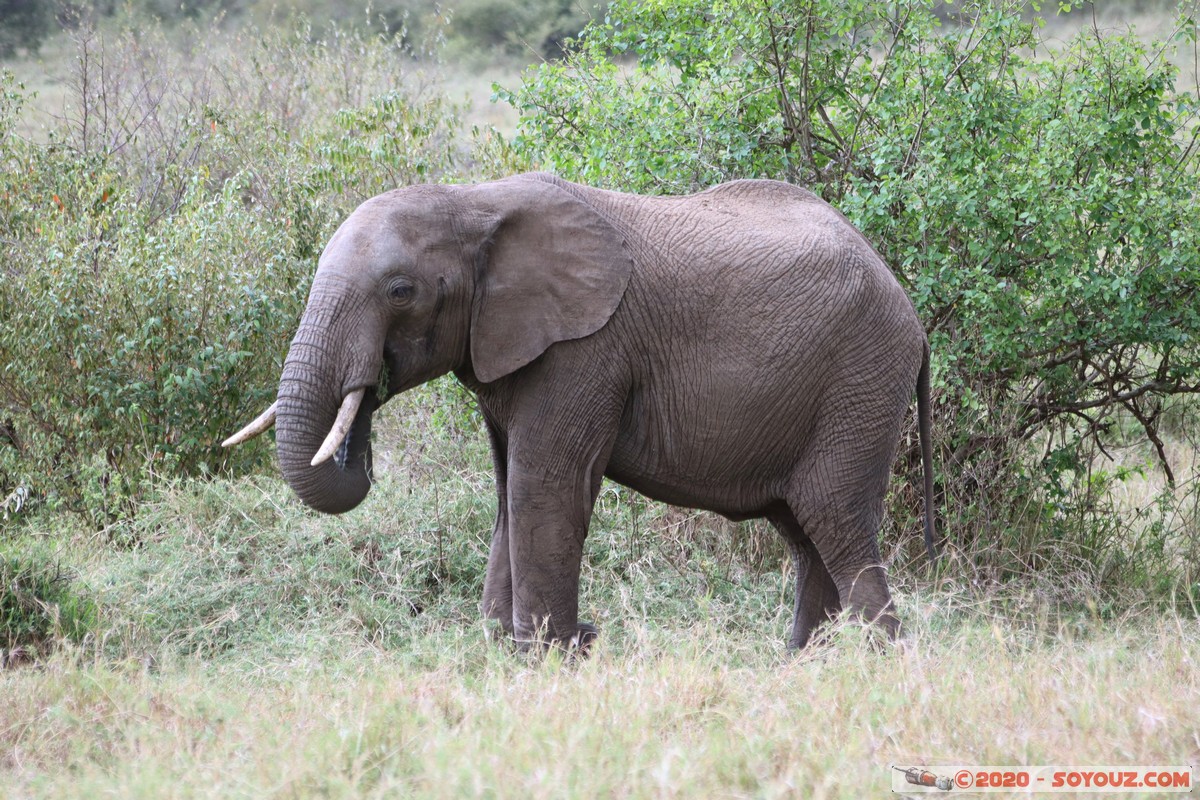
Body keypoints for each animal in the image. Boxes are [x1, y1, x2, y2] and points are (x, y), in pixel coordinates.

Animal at [224, 172, 935, 651]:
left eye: (401, 291)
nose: (366, 387)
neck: (472, 201)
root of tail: (911, 311)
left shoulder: (585, 350)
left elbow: (543, 486)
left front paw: (549, 654)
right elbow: (509, 492)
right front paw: (503, 647)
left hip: (862, 379)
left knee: (834, 517)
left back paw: (877, 662)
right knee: (806, 531)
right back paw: (802, 663)